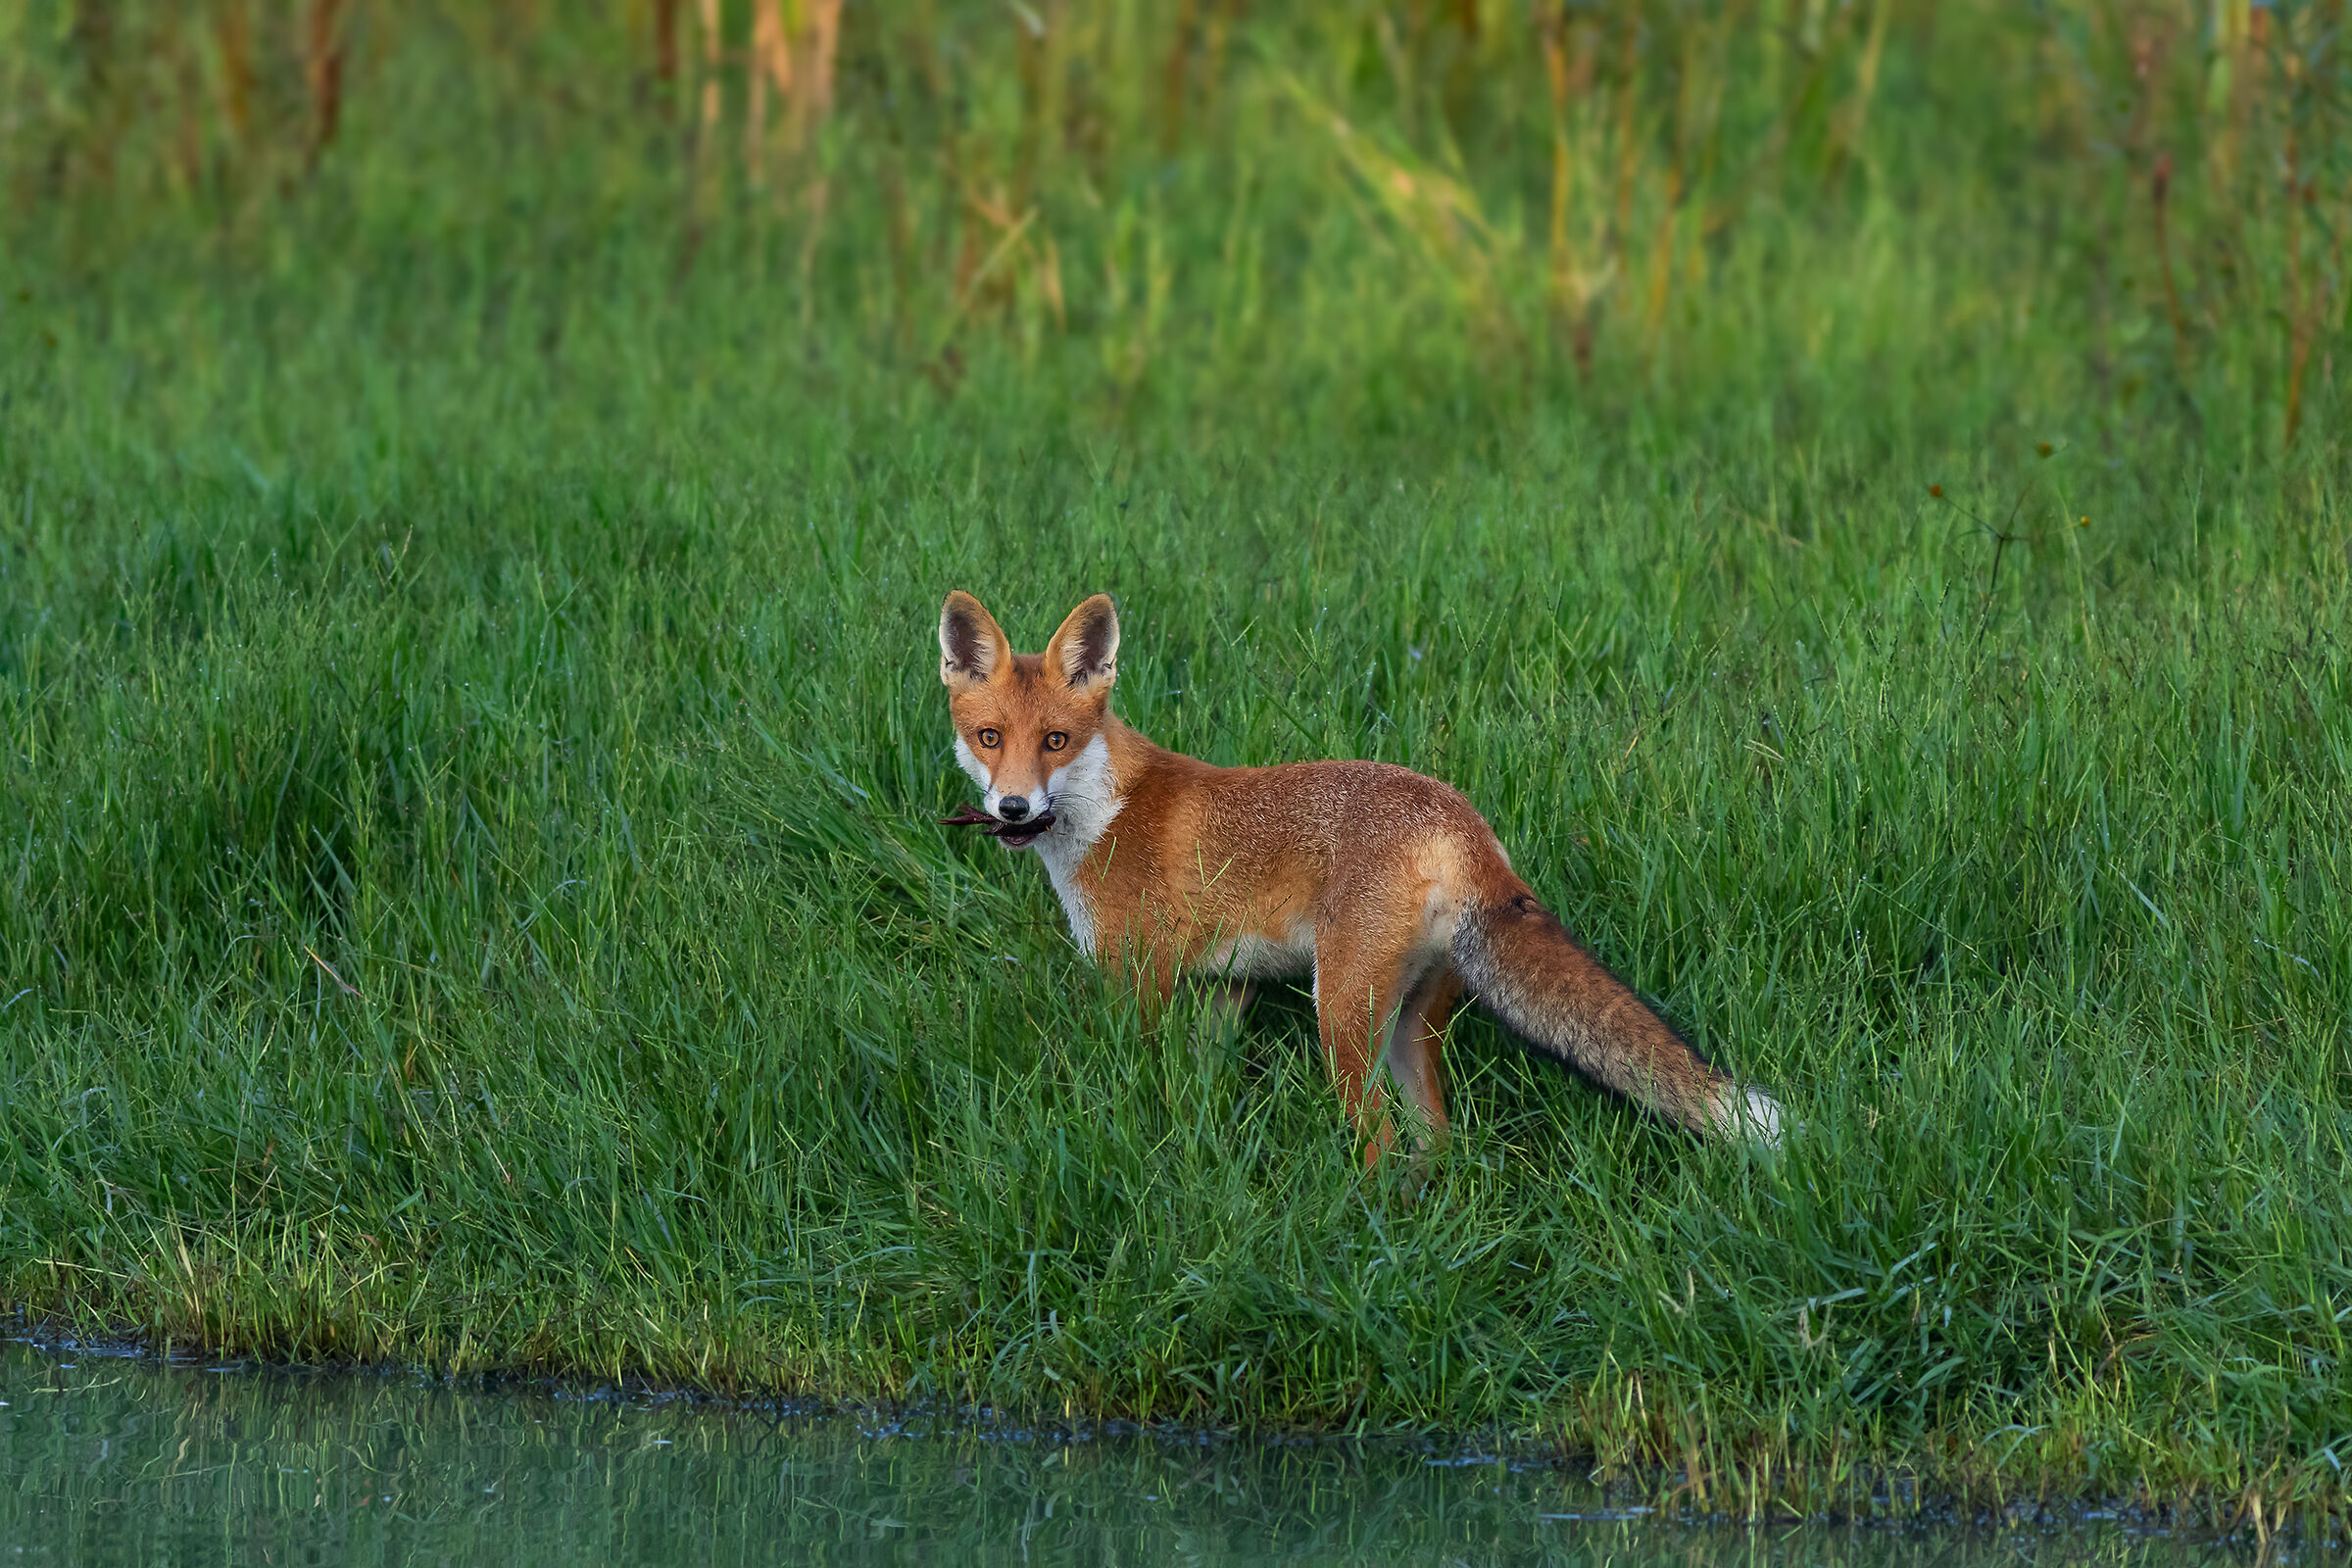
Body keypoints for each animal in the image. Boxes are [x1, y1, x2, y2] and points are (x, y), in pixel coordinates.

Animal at [937, 589, 1781, 1160]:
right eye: (989, 738)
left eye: (1055, 740)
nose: (1012, 808)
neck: (1105, 813)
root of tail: (1460, 820)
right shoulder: (1223, 992)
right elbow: (1200, 1097)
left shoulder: (1138, 981)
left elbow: (1142, 1087)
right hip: (1410, 1028)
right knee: (1436, 1147)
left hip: (1340, 1019)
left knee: (1380, 1145)